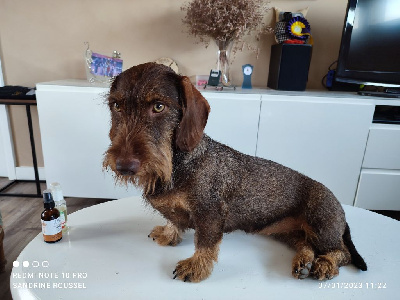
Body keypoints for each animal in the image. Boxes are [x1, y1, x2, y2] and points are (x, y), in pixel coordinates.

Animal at [103, 62, 366, 282]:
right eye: (116, 106)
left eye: (158, 106)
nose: (124, 166)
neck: (179, 165)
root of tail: (341, 211)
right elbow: (175, 221)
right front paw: (169, 233)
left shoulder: (210, 214)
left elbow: (205, 243)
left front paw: (196, 266)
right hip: (287, 232)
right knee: (306, 244)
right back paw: (303, 261)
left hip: (321, 224)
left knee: (342, 253)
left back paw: (326, 264)